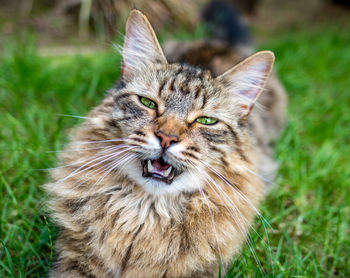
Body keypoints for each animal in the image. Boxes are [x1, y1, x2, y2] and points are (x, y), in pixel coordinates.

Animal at [45, 6, 288, 278]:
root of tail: (219, 43)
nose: (167, 138)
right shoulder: (74, 259)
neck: (146, 212)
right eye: (148, 103)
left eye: (205, 120)